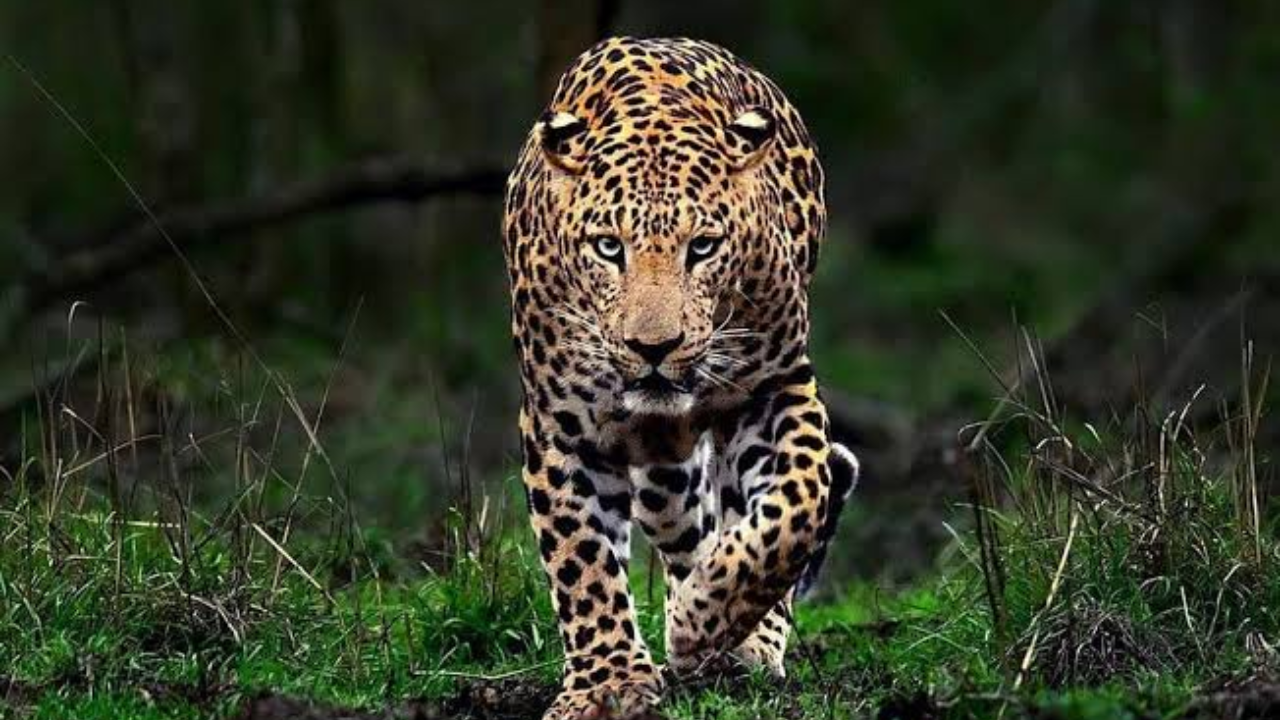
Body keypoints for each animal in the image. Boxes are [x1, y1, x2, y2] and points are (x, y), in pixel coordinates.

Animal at [501, 36, 859, 720]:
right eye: (608, 247)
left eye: (704, 247)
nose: (654, 347)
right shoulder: (560, 424)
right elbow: (581, 560)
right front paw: (607, 684)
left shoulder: (775, 384)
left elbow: (799, 502)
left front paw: (704, 619)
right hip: (663, 470)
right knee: (685, 525)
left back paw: (739, 637)